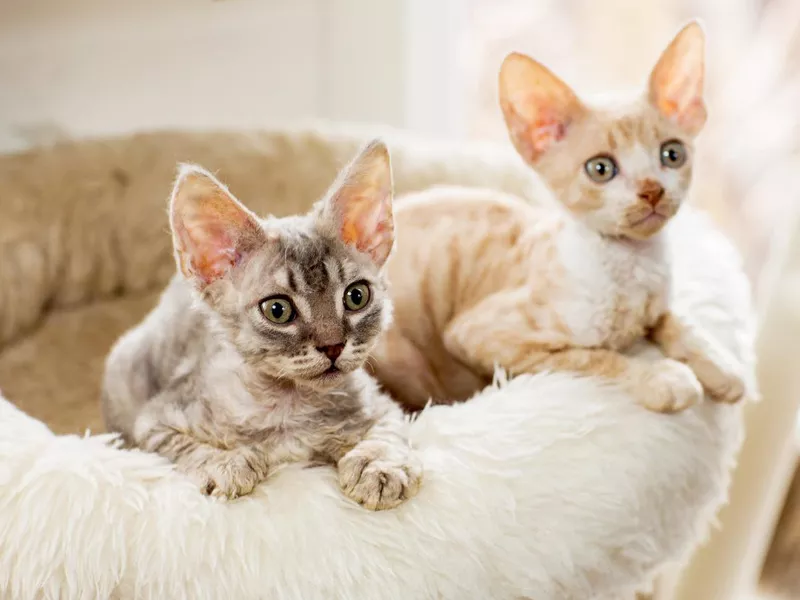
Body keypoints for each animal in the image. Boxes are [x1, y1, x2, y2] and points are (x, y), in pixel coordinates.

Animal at [103, 139, 422, 506]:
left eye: (356, 296)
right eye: (277, 310)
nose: (333, 345)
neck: (291, 409)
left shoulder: (383, 405)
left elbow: (388, 432)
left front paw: (380, 466)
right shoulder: (154, 420)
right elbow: (182, 448)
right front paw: (224, 464)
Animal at [372, 19, 748, 412]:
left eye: (672, 154)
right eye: (601, 169)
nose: (652, 190)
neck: (631, 267)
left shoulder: (656, 304)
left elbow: (672, 319)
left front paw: (720, 365)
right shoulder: (479, 334)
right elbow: (593, 357)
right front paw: (661, 377)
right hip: (404, 359)